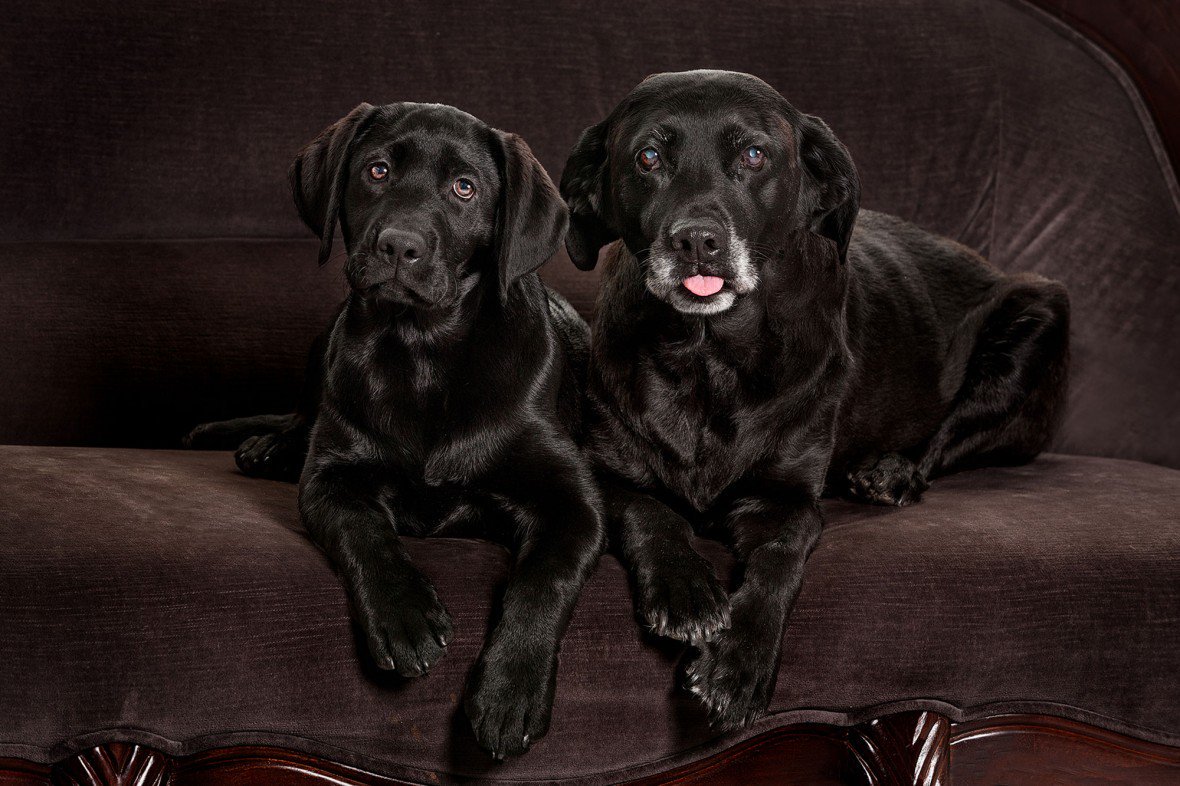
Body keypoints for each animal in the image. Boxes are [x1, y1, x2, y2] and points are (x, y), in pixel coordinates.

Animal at [192, 100, 604, 755]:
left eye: (465, 188)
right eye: (377, 170)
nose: (399, 246)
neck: (422, 351)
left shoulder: (575, 502)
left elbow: (546, 577)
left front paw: (511, 688)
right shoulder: (333, 479)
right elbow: (364, 533)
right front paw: (405, 617)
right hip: (324, 341)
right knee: (302, 417)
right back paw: (269, 446)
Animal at [561, 73, 1071, 726]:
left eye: (755, 155)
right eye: (647, 157)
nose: (697, 241)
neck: (708, 357)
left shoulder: (787, 501)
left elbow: (779, 561)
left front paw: (739, 664)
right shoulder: (603, 471)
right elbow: (649, 512)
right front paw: (687, 590)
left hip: (1038, 314)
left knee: (948, 441)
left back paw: (891, 473)